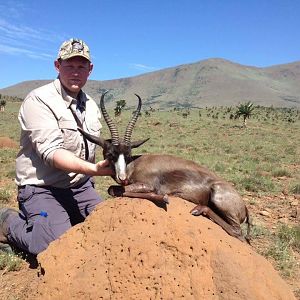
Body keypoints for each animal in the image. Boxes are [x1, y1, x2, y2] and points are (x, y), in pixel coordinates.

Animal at [78, 92, 250, 243]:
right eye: (110, 154)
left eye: (128, 155)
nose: (123, 178)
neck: (134, 165)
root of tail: (244, 206)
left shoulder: (147, 185)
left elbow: (115, 190)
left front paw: (164, 198)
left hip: (218, 197)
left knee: (238, 233)